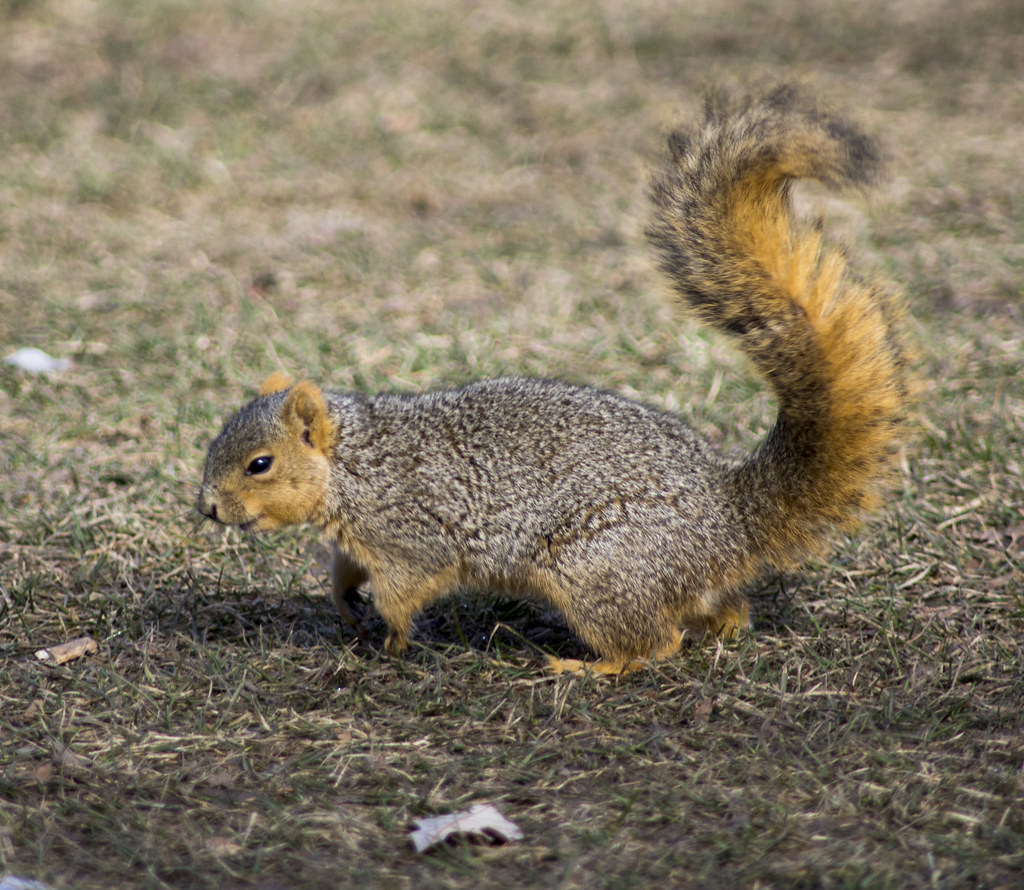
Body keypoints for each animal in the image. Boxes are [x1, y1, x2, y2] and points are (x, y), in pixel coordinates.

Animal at [197, 85, 907, 675]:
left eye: (259, 464)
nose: (207, 508)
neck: (353, 464)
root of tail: (729, 519)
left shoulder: (409, 534)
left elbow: (408, 592)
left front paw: (392, 644)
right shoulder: (359, 539)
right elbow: (345, 571)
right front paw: (344, 604)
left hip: (594, 569)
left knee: (655, 643)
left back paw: (585, 667)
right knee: (723, 614)